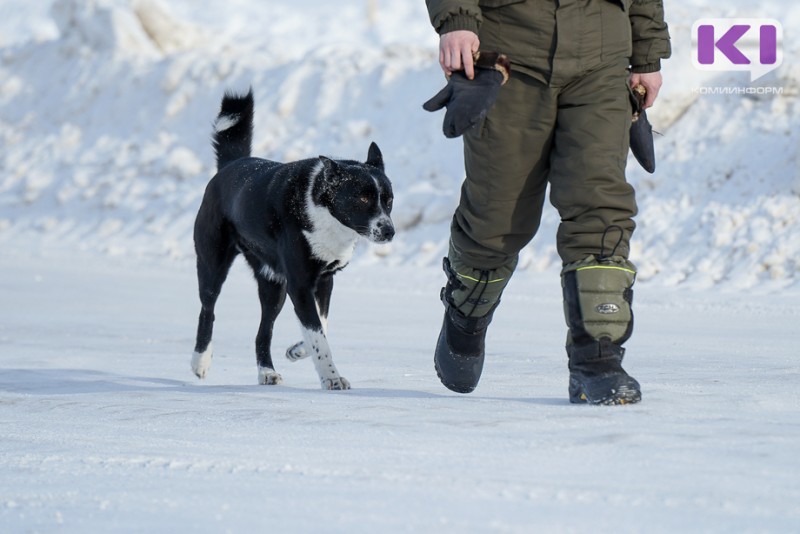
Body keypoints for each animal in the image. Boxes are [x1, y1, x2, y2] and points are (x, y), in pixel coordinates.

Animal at [191, 87, 396, 390]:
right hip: (213, 265)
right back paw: (200, 361)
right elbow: (318, 335)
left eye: (388, 199)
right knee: (208, 310)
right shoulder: (299, 285)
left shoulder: (323, 280)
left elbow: (321, 326)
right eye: (363, 198)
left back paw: (266, 372)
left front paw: (298, 349)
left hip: (273, 285)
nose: (389, 231)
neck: (322, 208)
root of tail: (230, 165)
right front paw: (331, 378)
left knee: (262, 332)